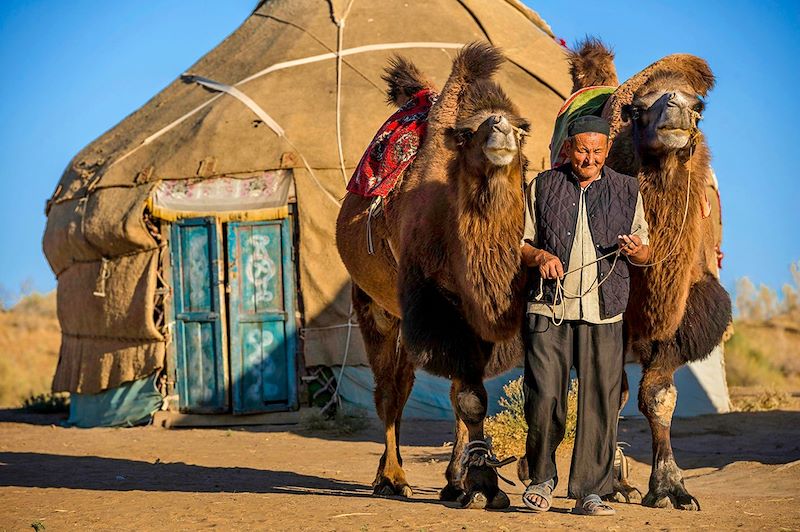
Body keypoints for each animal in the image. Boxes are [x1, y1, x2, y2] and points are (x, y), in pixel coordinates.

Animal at [336, 42, 532, 512]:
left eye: (522, 128)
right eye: (470, 131)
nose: (500, 127)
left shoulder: (477, 317)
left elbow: (465, 396)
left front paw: (465, 484)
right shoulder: (436, 306)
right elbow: (470, 399)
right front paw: (482, 486)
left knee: (412, 386)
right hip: (376, 308)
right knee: (390, 392)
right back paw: (392, 479)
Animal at [564, 39, 736, 510]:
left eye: (699, 108)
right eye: (638, 110)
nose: (675, 107)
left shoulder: (682, 316)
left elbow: (659, 396)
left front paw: (672, 489)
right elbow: (613, 392)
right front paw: (615, 482)